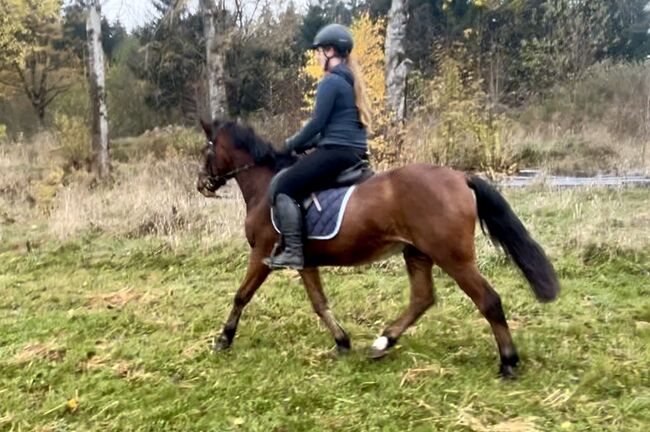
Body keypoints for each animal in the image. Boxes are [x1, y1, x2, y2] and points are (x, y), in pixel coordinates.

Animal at [194, 118, 556, 378]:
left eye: (206, 149)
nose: (202, 184)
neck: (264, 185)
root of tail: (460, 177)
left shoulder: (262, 255)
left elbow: (241, 295)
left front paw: (223, 339)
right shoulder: (305, 261)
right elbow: (319, 303)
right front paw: (342, 342)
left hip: (453, 257)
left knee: (488, 300)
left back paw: (508, 362)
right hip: (417, 253)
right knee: (422, 298)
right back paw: (384, 342)